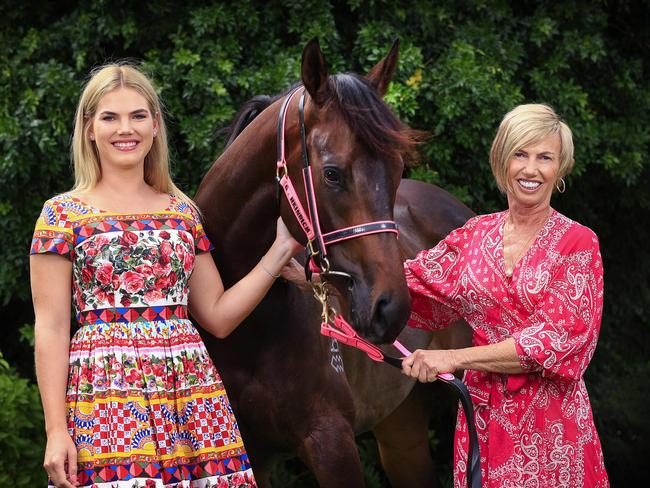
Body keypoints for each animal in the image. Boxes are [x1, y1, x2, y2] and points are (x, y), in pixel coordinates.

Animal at [192, 40, 470, 486]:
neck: (243, 331)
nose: (391, 308)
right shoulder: (248, 454)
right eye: (333, 174)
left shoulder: (331, 440)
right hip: (401, 428)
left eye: (397, 170)